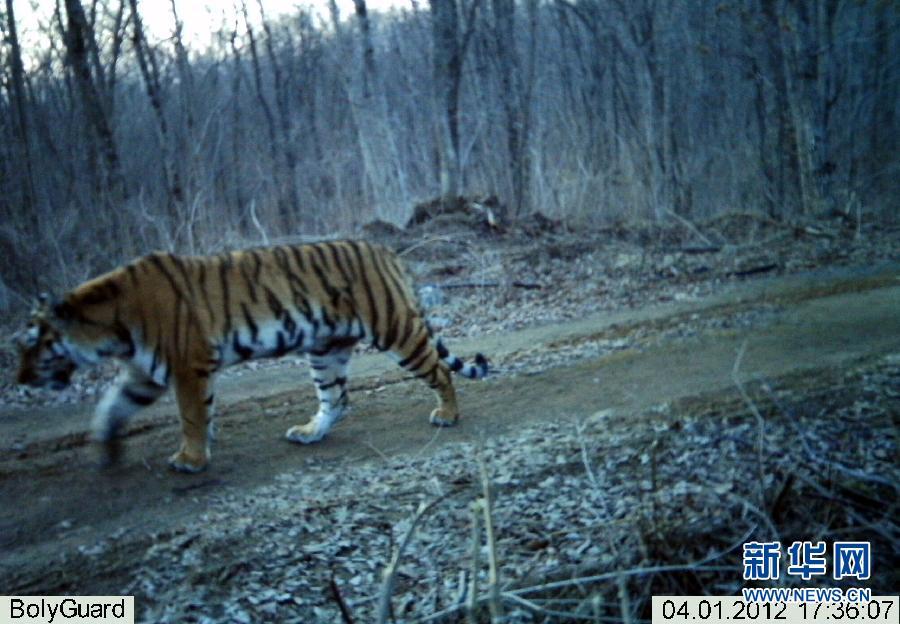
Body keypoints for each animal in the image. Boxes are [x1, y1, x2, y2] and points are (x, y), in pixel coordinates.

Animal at [14, 240, 486, 472]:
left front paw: (191, 459)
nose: (19, 379)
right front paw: (104, 451)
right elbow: (111, 408)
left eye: (32, 342)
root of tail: (382, 249)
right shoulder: (143, 375)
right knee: (337, 399)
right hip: (325, 348)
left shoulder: (187, 365)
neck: (110, 328)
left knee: (439, 369)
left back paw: (448, 414)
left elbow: (191, 415)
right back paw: (309, 432)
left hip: (394, 327)